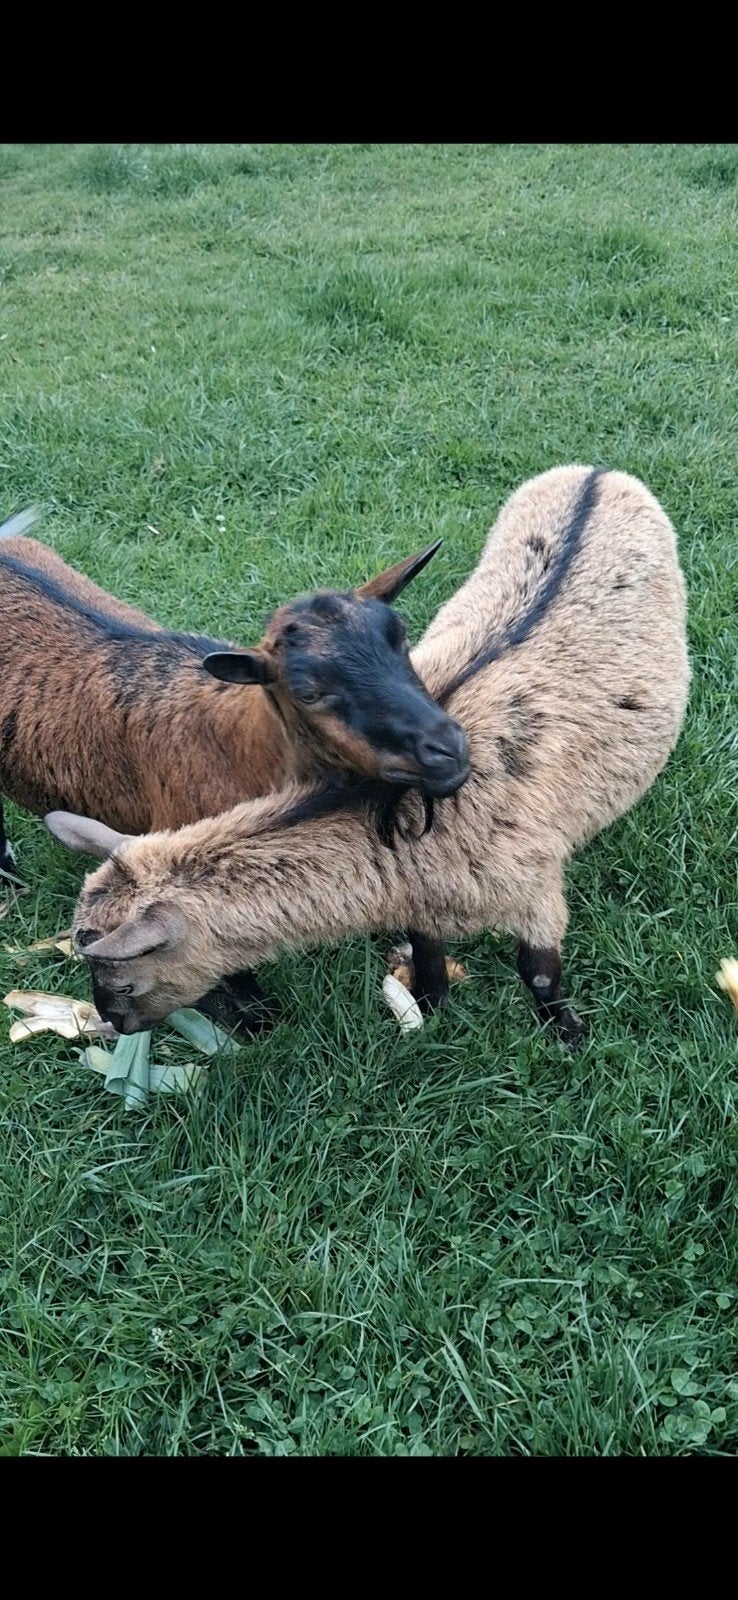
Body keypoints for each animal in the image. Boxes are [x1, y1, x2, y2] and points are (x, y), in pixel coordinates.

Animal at [0, 511, 469, 1029]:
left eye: (401, 637)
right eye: (306, 692)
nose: (447, 750)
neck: (246, 746)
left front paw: (435, 1002)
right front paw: (260, 1026)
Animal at [47, 464, 690, 1048]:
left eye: (122, 983)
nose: (114, 1024)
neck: (406, 845)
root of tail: (597, 472)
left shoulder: (534, 888)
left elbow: (538, 975)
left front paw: (571, 1038)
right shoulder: (426, 904)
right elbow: (430, 958)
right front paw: (432, 1011)